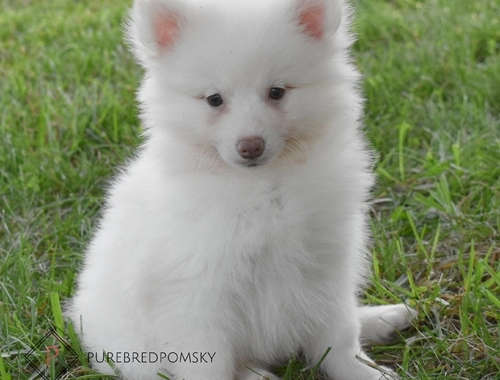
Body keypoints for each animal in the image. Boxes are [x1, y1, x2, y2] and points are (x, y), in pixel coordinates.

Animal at [68, 0, 416, 380]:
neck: (261, 187)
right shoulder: (195, 294)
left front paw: (362, 371)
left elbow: (338, 339)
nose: (251, 146)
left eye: (277, 92)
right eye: (214, 99)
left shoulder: (327, 268)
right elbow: (211, 365)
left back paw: (384, 318)